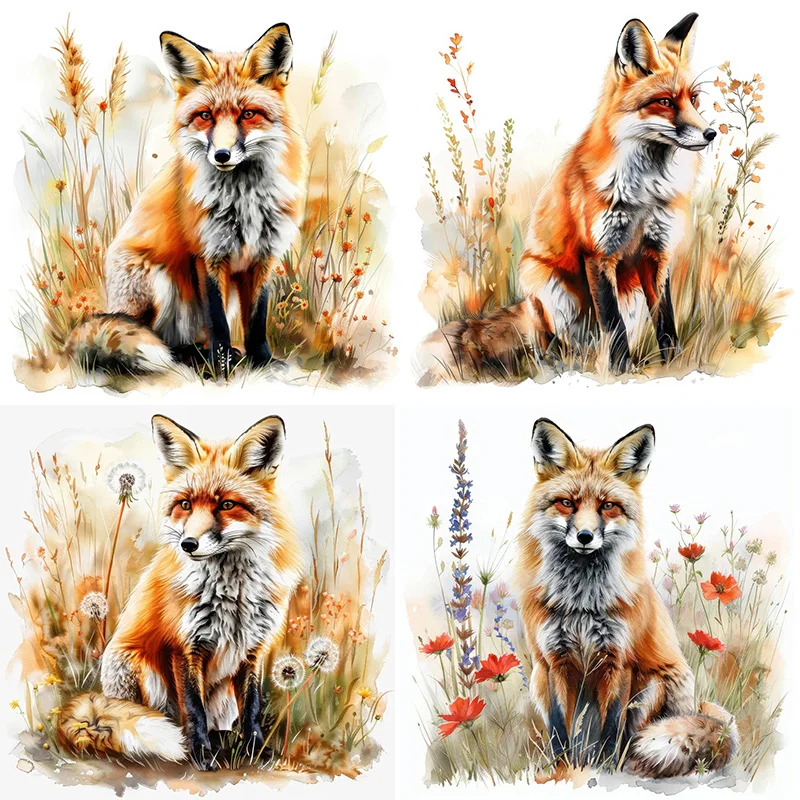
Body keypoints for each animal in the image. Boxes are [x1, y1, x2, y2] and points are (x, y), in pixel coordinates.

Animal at [56, 414, 304, 770]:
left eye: (227, 505)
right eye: (185, 504)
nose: (188, 544)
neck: (233, 592)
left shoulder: (254, 647)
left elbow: (253, 707)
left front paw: (254, 748)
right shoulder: (184, 645)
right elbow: (193, 708)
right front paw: (200, 753)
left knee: (221, 721)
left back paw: (223, 740)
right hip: (139, 668)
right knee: (165, 718)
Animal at [65, 24, 307, 380]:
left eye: (248, 114)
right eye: (205, 116)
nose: (222, 155)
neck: (244, 200)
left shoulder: (263, 257)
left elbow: (256, 321)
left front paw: (262, 362)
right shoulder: (208, 255)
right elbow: (218, 323)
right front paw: (221, 369)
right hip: (157, 281)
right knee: (155, 337)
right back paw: (191, 357)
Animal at [421, 13, 715, 383]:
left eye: (695, 99)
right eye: (664, 102)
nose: (711, 133)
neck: (646, 194)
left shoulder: (656, 254)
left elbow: (666, 324)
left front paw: (673, 368)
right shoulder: (598, 254)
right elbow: (613, 327)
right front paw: (619, 374)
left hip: (627, 294)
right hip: (548, 287)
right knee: (549, 346)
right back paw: (558, 368)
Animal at [514, 418, 739, 779]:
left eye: (607, 506)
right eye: (567, 503)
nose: (585, 536)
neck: (581, 602)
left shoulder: (619, 660)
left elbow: (611, 729)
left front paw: (607, 772)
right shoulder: (553, 661)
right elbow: (560, 731)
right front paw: (562, 770)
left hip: (653, 685)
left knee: (634, 738)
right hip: (538, 681)